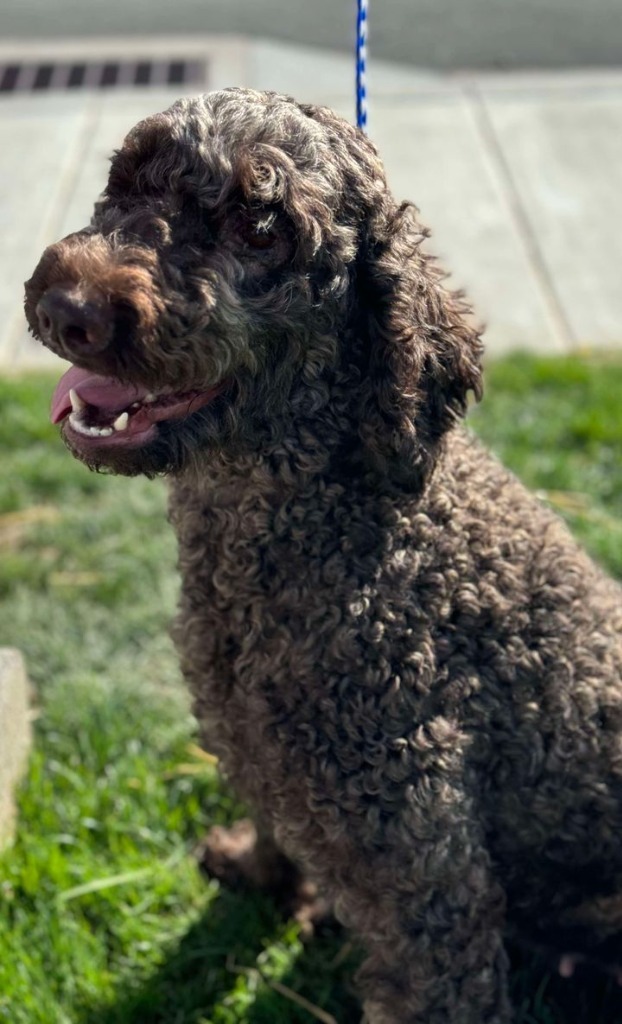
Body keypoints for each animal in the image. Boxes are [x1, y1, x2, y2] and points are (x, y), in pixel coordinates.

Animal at [23, 90, 622, 1024]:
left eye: (260, 227)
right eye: (126, 183)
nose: (65, 305)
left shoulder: (429, 890)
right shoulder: (256, 744)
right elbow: (274, 825)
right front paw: (258, 870)